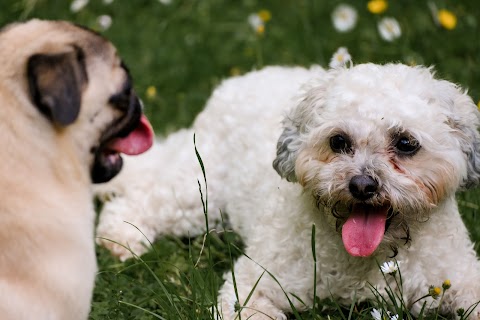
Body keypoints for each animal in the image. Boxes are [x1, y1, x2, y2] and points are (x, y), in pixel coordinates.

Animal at [95, 63, 480, 318]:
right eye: (338, 141)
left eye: (405, 143)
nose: (362, 186)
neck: (372, 261)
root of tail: (236, 82)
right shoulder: (253, 284)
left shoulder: (461, 278)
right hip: (197, 194)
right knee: (143, 196)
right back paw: (121, 238)